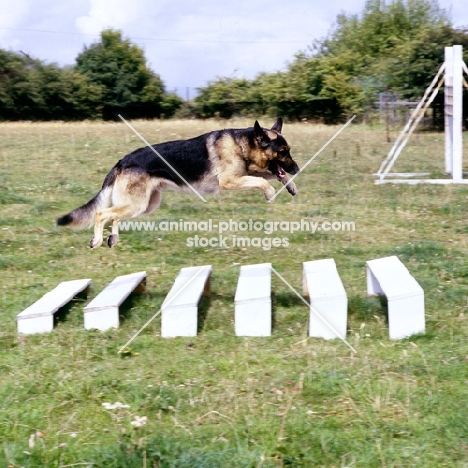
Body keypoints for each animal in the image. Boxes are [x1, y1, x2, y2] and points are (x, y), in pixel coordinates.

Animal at [56, 118, 300, 249]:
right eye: (282, 152)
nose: (297, 169)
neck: (242, 145)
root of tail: (122, 161)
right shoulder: (230, 181)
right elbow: (262, 181)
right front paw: (270, 193)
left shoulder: (248, 172)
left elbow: (270, 175)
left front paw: (291, 185)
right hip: (137, 204)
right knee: (101, 214)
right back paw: (96, 240)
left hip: (144, 205)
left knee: (114, 215)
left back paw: (112, 238)